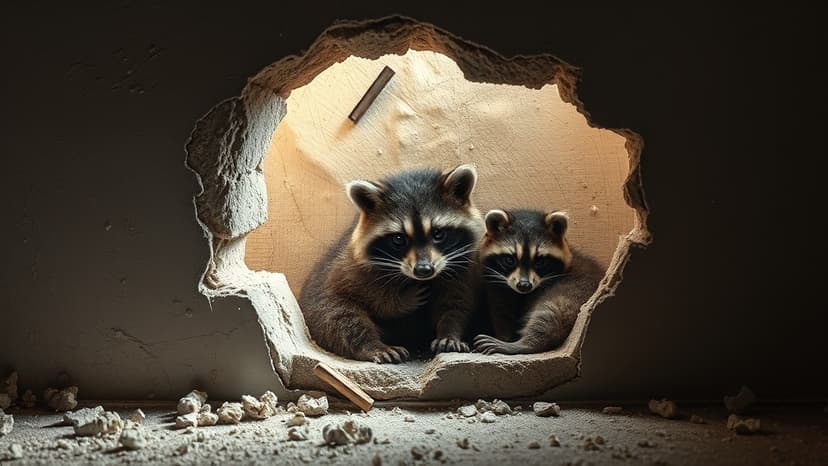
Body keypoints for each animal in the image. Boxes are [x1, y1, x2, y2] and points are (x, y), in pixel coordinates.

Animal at [299, 164, 484, 364]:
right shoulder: (349, 266)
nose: (423, 270)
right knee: (339, 316)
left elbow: (455, 304)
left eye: (438, 234)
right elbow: (372, 297)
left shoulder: (461, 267)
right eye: (398, 239)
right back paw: (372, 346)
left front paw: (450, 333)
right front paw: (400, 300)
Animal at [473, 209, 604, 355]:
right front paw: (503, 336)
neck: (520, 294)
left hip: (574, 293)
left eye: (540, 262)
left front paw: (505, 340)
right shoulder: (498, 289)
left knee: (552, 313)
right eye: (509, 260)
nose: (524, 286)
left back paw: (523, 344)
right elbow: (502, 315)